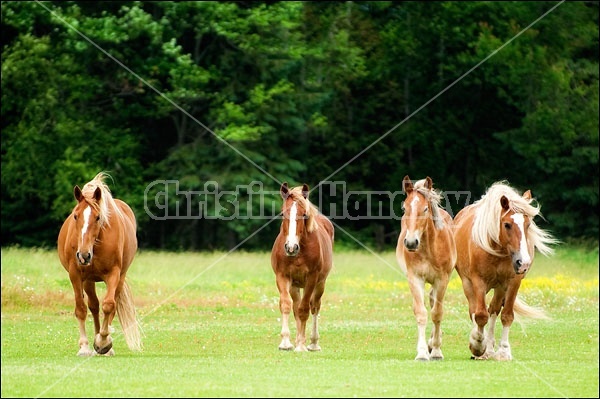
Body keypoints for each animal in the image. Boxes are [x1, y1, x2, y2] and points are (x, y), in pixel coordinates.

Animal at [58, 172, 144, 356]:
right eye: (75, 216)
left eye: (98, 217)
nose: (84, 255)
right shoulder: (75, 274)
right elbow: (81, 308)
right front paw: (84, 346)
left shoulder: (114, 274)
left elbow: (109, 305)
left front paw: (103, 342)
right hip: (88, 280)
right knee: (94, 306)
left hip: (119, 278)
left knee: (110, 305)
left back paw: (103, 343)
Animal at [270, 183, 336, 352]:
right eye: (282, 214)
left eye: (304, 215)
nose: (291, 247)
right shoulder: (282, 277)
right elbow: (286, 305)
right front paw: (286, 342)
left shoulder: (312, 279)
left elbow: (305, 309)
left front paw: (301, 345)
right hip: (295, 286)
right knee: (295, 307)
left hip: (320, 284)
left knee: (314, 307)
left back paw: (312, 343)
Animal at [396, 177, 458, 360]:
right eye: (405, 208)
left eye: (424, 209)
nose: (410, 243)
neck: (429, 248)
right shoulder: (415, 278)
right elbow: (421, 313)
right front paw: (422, 352)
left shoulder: (442, 280)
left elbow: (437, 313)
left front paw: (436, 350)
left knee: (433, 303)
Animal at [454, 181, 556, 362]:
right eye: (507, 224)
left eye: (528, 225)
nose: (523, 263)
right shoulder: (478, 281)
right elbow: (480, 315)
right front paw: (478, 346)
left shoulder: (513, 282)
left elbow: (506, 315)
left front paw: (503, 351)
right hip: (468, 283)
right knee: (474, 311)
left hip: (500, 288)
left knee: (493, 310)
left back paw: (489, 348)